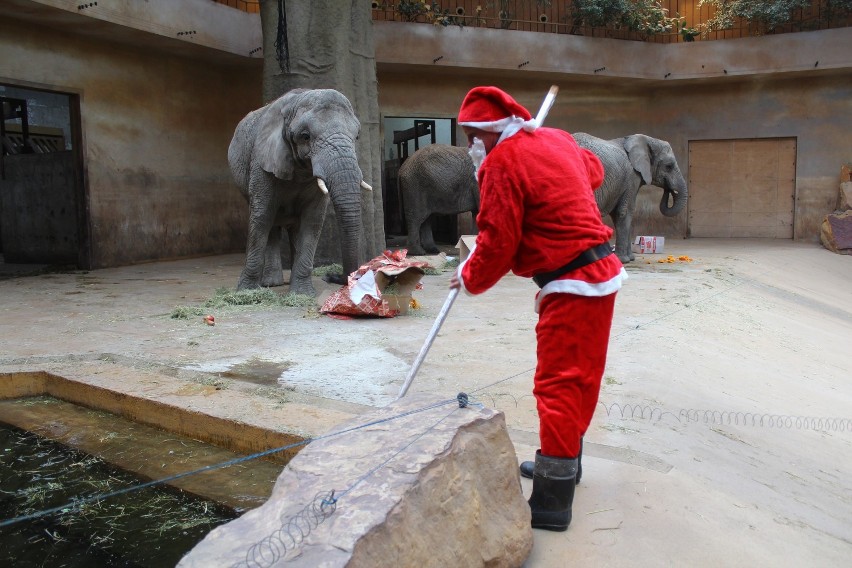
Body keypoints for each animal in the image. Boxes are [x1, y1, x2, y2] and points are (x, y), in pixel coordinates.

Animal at [228, 90, 372, 292]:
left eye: (357, 136)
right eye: (305, 136)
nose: (331, 276)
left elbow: (312, 220)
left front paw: (302, 293)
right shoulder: (261, 161)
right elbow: (261, 216)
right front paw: (247, 291)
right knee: (270, 223)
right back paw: (271, 283)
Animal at [572, 134, 684, 264]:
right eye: (669, 166)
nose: (669, 189)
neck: (646, 139)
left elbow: (622, 215)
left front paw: (631, 258)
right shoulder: (631, 178)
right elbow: (625, 212)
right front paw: (623, 260)